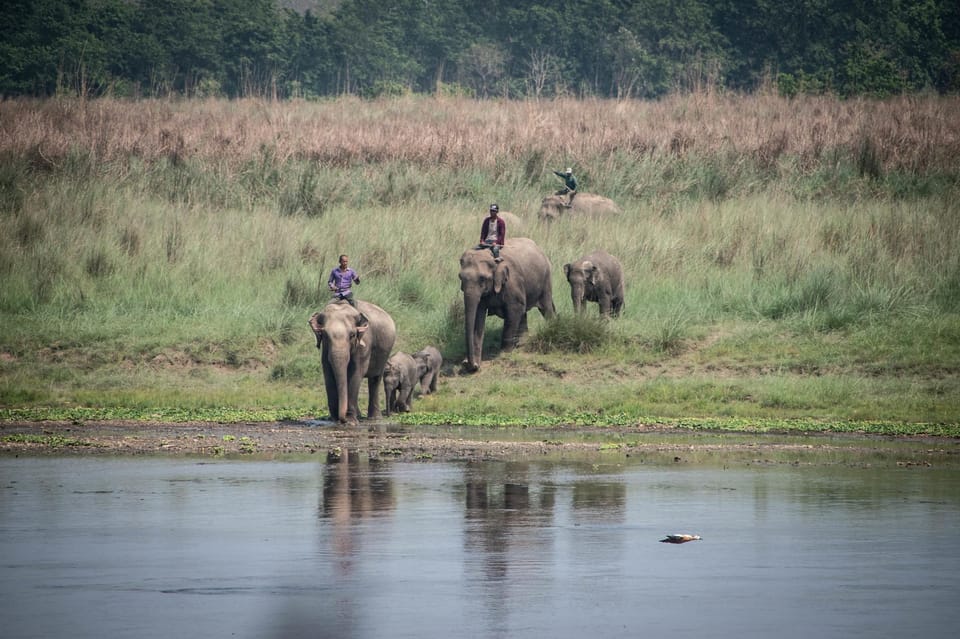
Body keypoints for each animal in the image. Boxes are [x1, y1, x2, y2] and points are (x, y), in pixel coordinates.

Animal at [458, 238, 556, 372]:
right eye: (460, 277)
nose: (472, 365)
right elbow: (478, 317)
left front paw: (504, 353)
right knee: (524, 312)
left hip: (546, 279)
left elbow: (514, 310)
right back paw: (521, 343)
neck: (493, 259)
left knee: (546, 308)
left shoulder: (512, 282)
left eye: (482, 278)